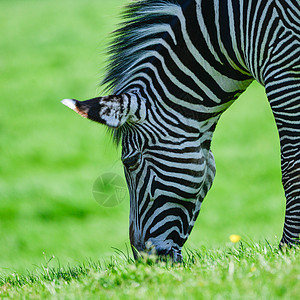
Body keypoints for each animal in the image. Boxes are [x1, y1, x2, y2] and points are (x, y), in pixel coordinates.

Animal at [61, 0, 300, 262]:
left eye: (130, 161)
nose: (143, 260)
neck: (232, 32)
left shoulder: (283, 69)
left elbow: (291, 167)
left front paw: (290, 247)